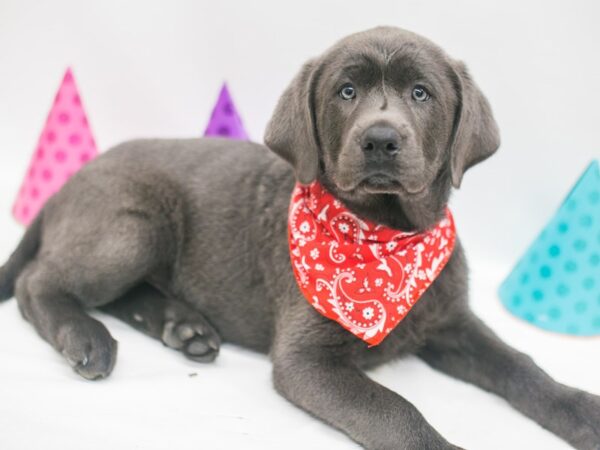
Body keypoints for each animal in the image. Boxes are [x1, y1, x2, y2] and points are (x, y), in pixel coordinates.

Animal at [1, 27, 600, 450]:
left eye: (421, 93)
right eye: (347, 91)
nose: (380, 139)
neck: (387, 237)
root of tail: (68, 182)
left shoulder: (450, 322)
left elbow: (521, 365)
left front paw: (582, 410)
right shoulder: (306, 361)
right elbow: (397, 411)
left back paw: (184, 327)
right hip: (134, 224)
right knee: (38, 283)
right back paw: (85, 336)